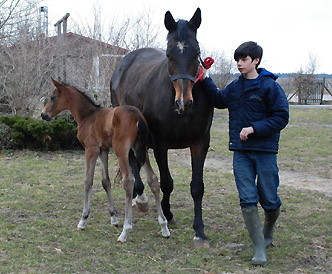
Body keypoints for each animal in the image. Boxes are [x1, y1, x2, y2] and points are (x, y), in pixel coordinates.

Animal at [41, 78, 170, 242]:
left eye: (52, 97)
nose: (43, 114)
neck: (88, 116)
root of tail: (137, 116)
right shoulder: (103, 150)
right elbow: (105, 181)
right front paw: (113, 218)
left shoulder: (91, 150)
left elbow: (88, 181)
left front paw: (83, 220)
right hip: (141, 150)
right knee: (153, 179)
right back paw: (164, 226)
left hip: (122, 151)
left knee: (129, 181)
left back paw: (125, 231)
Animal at [111, 8, 214, 246]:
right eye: (168, 54)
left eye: (196, 53)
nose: (184, 103)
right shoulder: (161, 145)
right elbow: (167, 183)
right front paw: (167, 214)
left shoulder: (200, 143)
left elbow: (197, 187)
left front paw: (199, 229)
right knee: (133, 162)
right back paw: (140, 197)